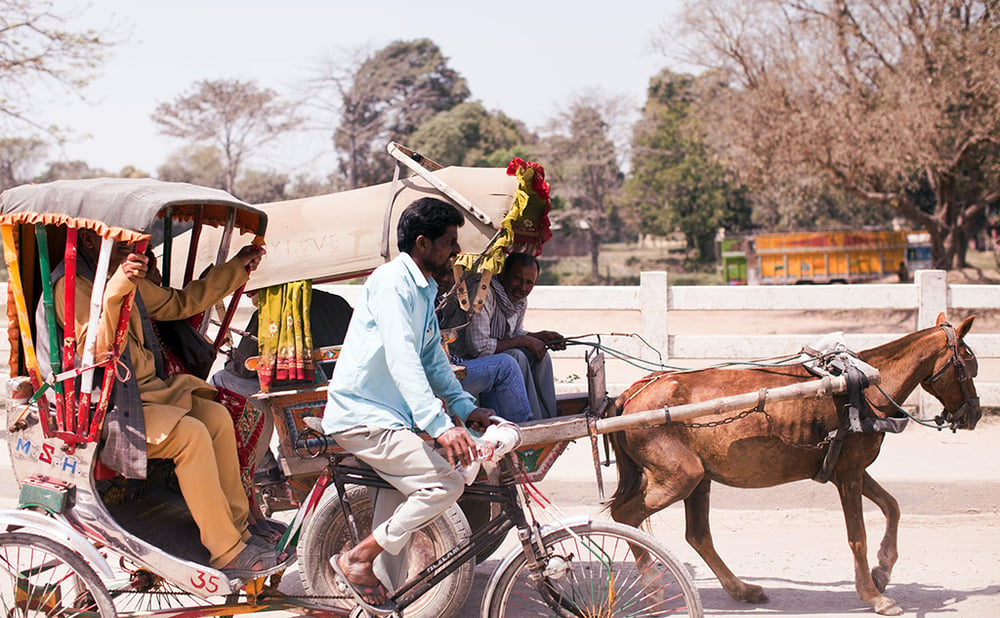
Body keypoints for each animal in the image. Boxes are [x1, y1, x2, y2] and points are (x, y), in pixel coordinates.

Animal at [604, 316, 980, 612]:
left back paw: (741, 589)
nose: (973, 414)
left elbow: (893, 507)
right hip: (679, 478)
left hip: (699, 479)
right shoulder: (849, 475)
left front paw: (883, 570)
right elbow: (857, 535)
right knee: (625, 516)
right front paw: (874, 595)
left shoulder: (850, 470)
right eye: (968, 365)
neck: (862, 385)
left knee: (697, 535)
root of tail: (631, 396)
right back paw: (652, 588)